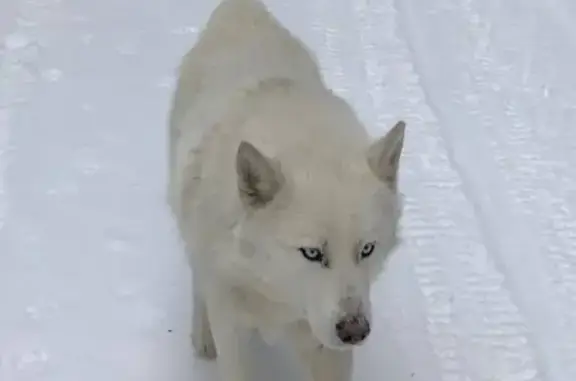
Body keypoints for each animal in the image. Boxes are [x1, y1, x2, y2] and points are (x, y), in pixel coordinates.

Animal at [168, 0, 404, 378]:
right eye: (312, 253)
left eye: (367, 249)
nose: (355, 331)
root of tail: (242, 10)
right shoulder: (232, 325)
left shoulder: (327, 349)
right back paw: (202, 336)